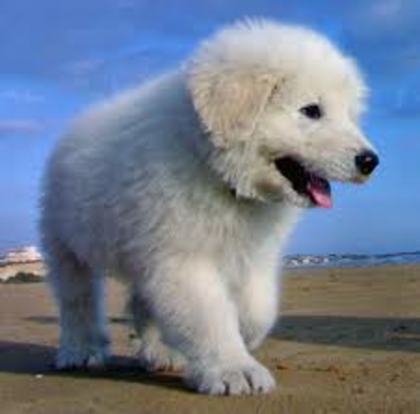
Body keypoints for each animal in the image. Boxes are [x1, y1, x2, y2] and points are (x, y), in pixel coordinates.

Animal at [41, 19, 378, 394]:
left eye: (350, 115)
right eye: (312, 111)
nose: (370, 161)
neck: (218, 173)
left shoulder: (254, 252)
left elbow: (259, 309)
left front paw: (243, 335)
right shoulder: (183, 258)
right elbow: (209, 316)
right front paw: (234, 369)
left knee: (142, 300)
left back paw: (160, 352)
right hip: (65, 242)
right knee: (77, 299)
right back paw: (81, 350)